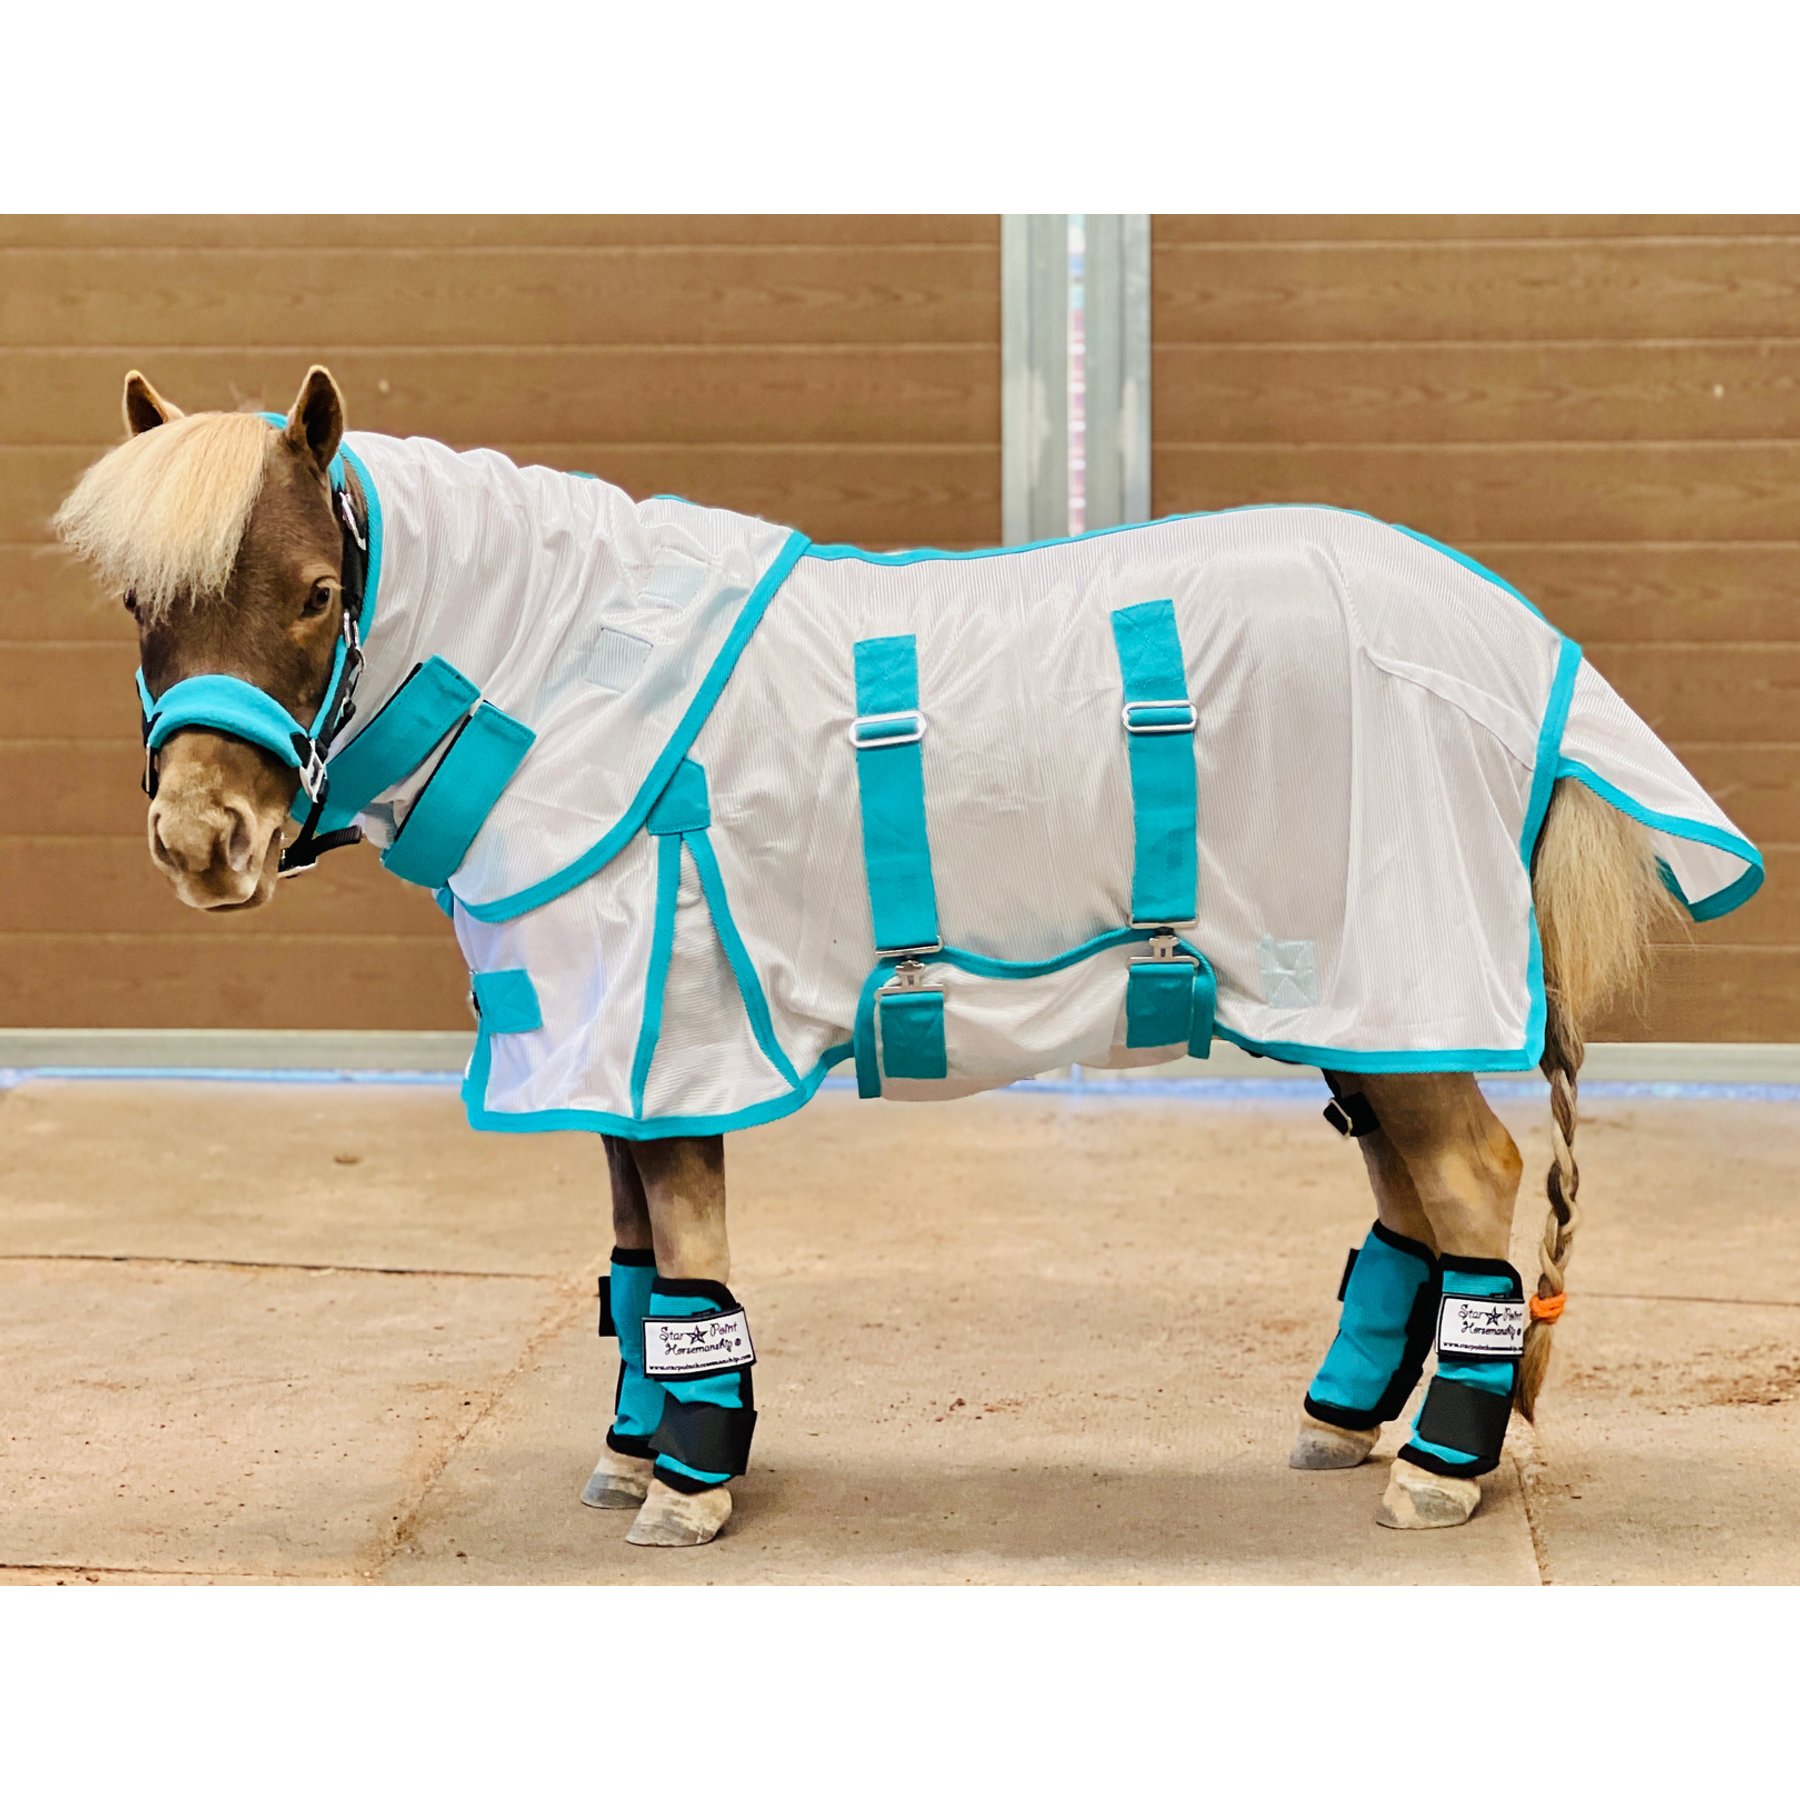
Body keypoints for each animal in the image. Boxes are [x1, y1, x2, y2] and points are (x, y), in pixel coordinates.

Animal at [54, 365, 1761, 1548]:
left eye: (316, 593)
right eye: (140, 598)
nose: (205, 843)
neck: (566, 675)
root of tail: (1514, 647)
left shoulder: (671, 1022)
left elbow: (681, 1243)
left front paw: (690, 1482)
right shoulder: (604, 1032)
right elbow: (630, 1252)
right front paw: (631, 1453)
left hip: (1392, 957)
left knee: (1471, 1175)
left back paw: (1438, 1474)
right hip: (1350, 988)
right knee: (1410, 1192)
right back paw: (1345, 1424)